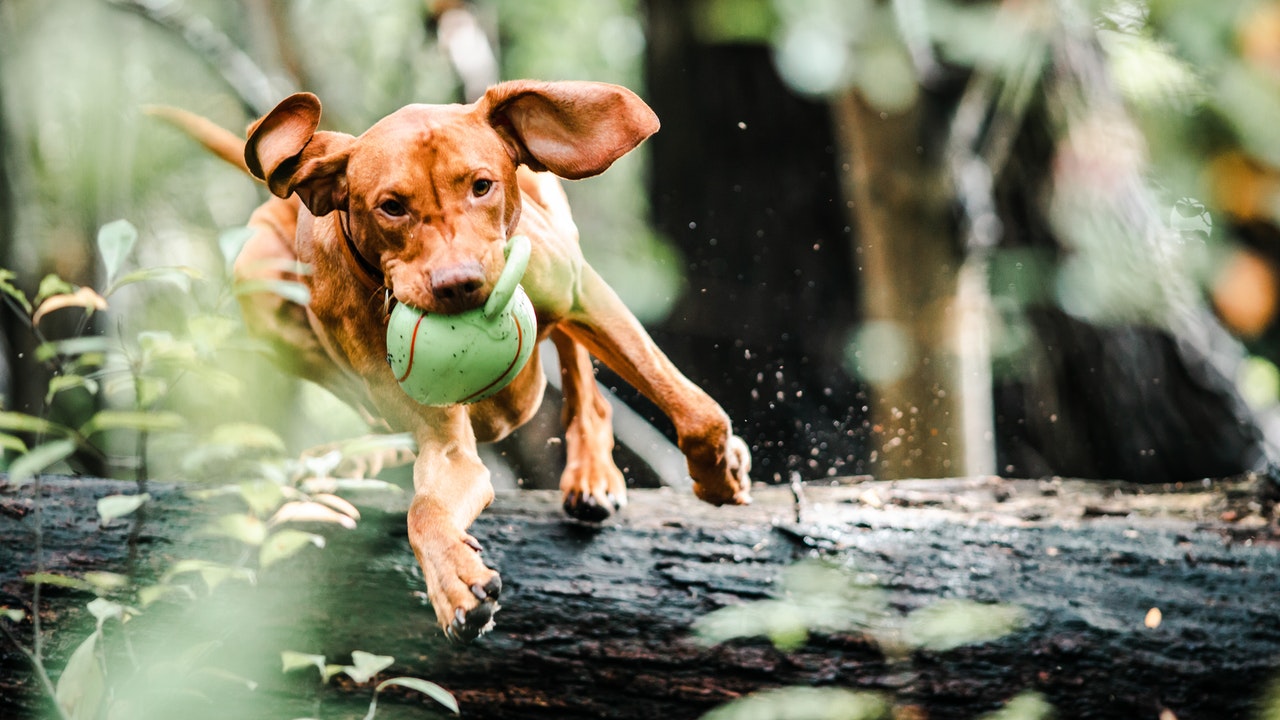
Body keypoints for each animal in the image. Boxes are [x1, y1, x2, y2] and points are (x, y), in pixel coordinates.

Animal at [165, 79, 752, 638]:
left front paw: (719, 473)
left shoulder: (582, 294)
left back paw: (592, 472)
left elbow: (695, 412)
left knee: (580, 372)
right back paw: (350, 459)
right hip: (260, 282)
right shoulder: (444, 443)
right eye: (392, 205)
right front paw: (453, 581)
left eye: (481, 186)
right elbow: (426, 505)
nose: (459, 284)